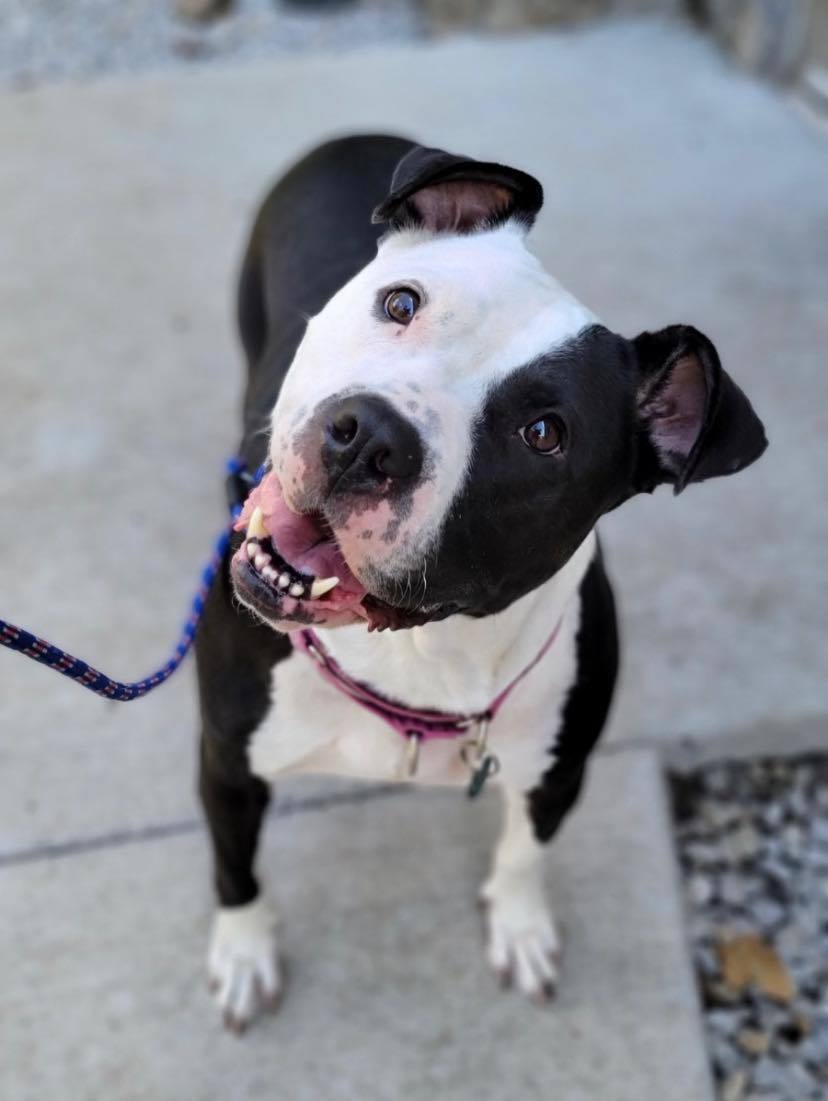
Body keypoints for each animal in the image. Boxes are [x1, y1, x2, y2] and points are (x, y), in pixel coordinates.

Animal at [195, 133, 770, 1026]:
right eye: (401, 303)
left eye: (544, 433)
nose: (368, 436)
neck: (417, 658)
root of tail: (355, 136)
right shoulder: (226, 760)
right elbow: (236, 868)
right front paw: (245, 949)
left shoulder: (555, 772)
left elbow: (525, 851)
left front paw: (521, 922)